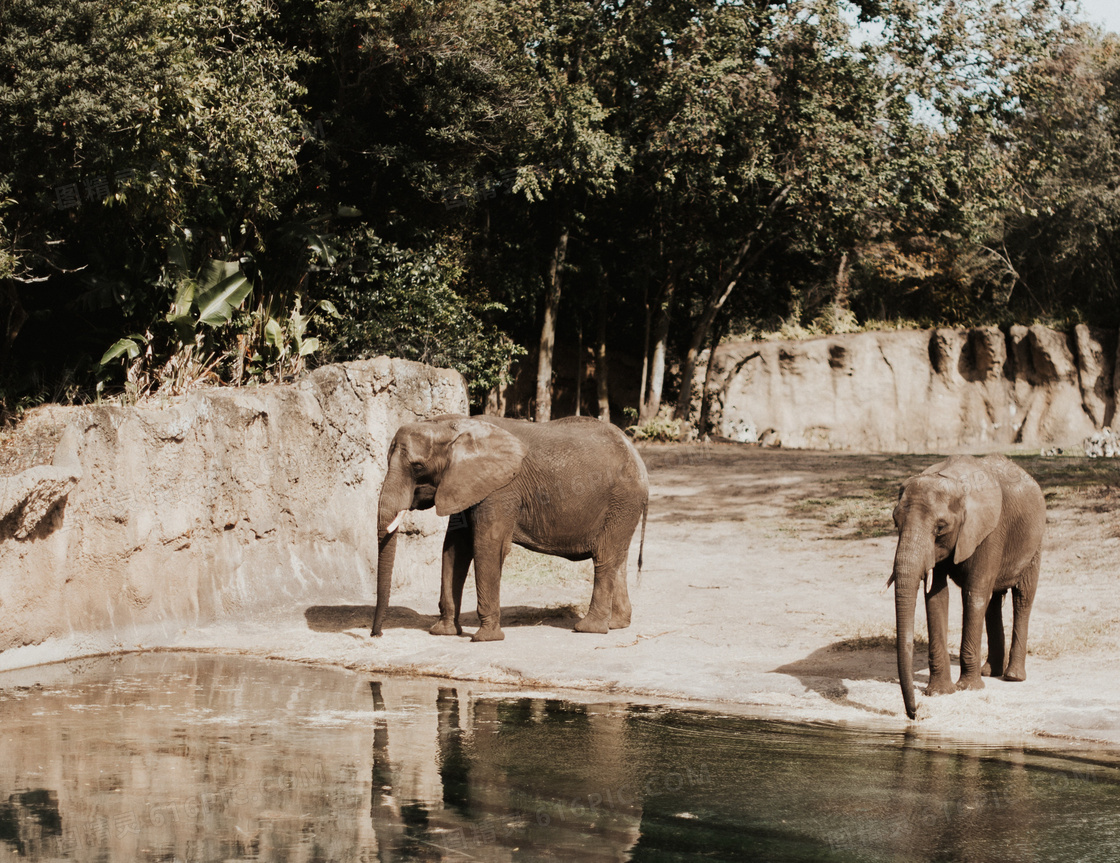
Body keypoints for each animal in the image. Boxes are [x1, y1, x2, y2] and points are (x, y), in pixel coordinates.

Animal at [371, 414, 649, 644]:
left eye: (417, 467)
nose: (377, 634)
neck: (450, 425)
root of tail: (637, 456)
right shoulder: (465, 485)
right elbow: (455, 549)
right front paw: (443, 632)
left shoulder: (500, 490)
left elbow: (487, 547)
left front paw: (485, 638)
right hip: (622, 507)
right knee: (617, 560)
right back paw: (616, 624)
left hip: (622, 500)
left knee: (604, 558)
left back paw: (588, 629)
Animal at [887, 456, 1043, 720]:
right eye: (895, 521)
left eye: (940, 527)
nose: (914, 714)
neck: (952, 482)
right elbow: (936, 597)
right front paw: (940, 692)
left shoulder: (988, 532)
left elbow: (974, 593)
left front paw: (969, 688)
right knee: (993, 601)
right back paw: (990, 672)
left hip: (1036, 541)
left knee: (1022, 597)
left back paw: (1012, 677)